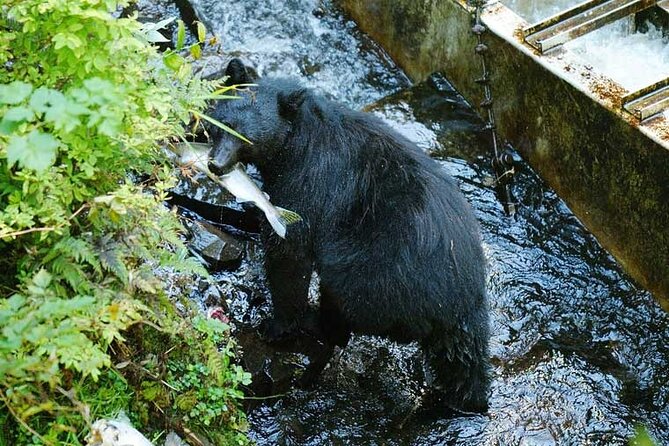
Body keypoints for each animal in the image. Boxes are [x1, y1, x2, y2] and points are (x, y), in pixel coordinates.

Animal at [208, 58, 491, 414]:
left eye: (246, 137)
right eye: (222, 124)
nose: (216, 164)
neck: (296, 140)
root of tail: (463, 304)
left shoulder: (309, 182)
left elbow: (290, 249)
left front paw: (275, 324)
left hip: (372, 273)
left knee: (343, 304)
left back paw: (318, 322)